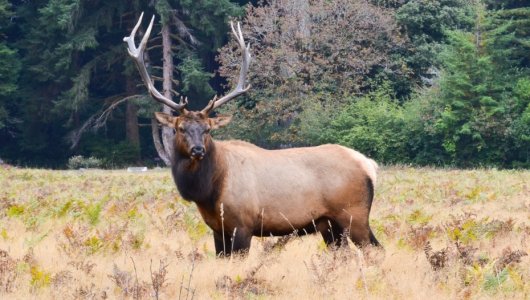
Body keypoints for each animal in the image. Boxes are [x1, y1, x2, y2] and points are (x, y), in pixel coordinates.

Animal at [124, 14, 380, 256]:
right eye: (180, 128)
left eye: (208, 129)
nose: (198, 149)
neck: (209, 191)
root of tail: (369, 165)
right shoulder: (217, 229)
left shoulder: (243, 225)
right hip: (328, 224)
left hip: (354, 214)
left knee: (374, 250)